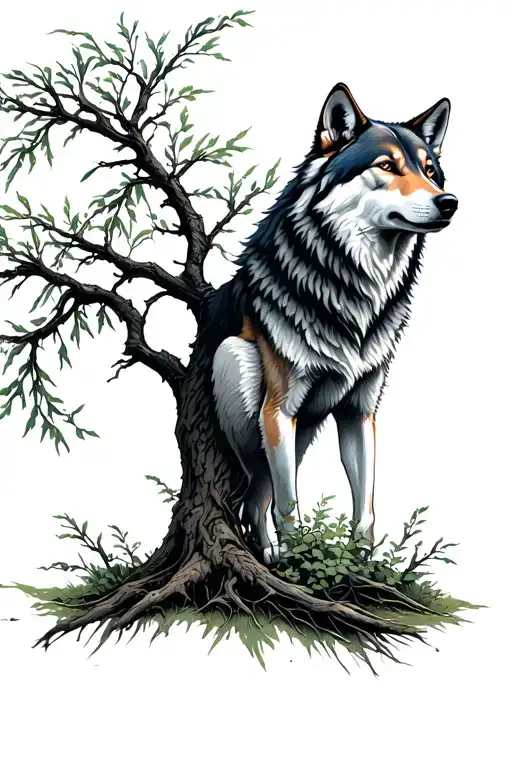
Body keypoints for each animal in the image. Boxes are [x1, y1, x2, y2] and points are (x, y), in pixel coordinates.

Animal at [208, 83, 458, 563]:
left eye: (431, 171)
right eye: (386, 166)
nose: (448, 202)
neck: (353, 286)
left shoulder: (359, 411)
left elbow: (365, 505)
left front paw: (361, 567)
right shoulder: (278, 411)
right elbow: (289, 505)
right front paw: (297, 564)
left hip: (302, 432)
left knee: (257, 494)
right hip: (235, 362)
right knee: (257, 495)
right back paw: (270, 556)